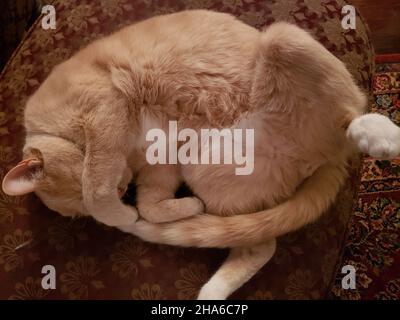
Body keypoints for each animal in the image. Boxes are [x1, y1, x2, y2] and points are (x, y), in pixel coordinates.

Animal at [2, 10, 400, 300]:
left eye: (81, 179)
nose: (122, 189)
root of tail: (326, 158)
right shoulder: (161, 166)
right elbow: (150, 205)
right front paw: (169, 210)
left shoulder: (104, 112)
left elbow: (98, 187)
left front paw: (121, 214)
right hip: (204, 172)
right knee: (260, 246)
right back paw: (210, 293)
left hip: (284, 37)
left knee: (350, 112)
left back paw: (377, 132)